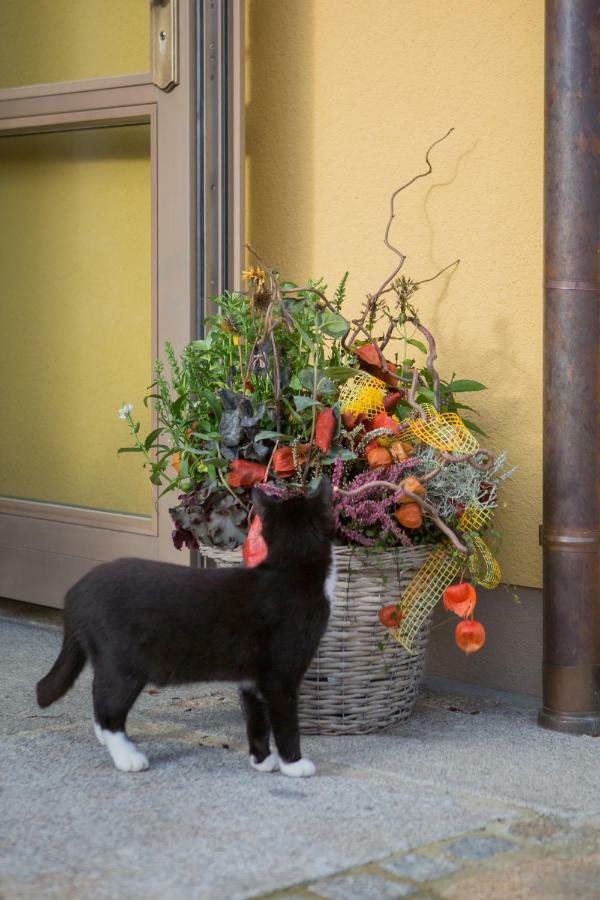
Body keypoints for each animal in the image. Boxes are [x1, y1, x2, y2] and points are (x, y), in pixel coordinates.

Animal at [37, 482, 336, 776]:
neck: (291, 570)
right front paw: (294, 764)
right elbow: (285, 723)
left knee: (99, 698)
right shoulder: (280, 676)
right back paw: (127, 756)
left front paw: (261, 761)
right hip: (123, 664)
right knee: (109, 707)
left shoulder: (252, 680)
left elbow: (257, 720)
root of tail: (76, 592)